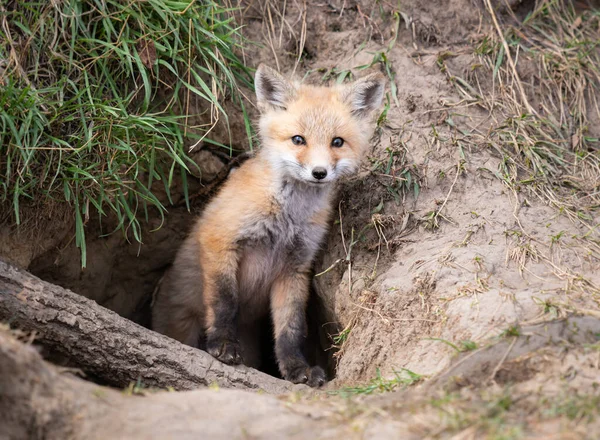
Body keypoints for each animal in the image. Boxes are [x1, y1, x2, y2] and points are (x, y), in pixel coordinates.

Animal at [151, 63, 384, 386]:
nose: (319, 172)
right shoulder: (220, 240)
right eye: (298, 139)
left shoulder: (295, 267)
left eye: (337, 142)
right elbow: (224, 300)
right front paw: (223, 344)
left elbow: (291, 328)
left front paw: (296, 369)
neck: (286, 217)